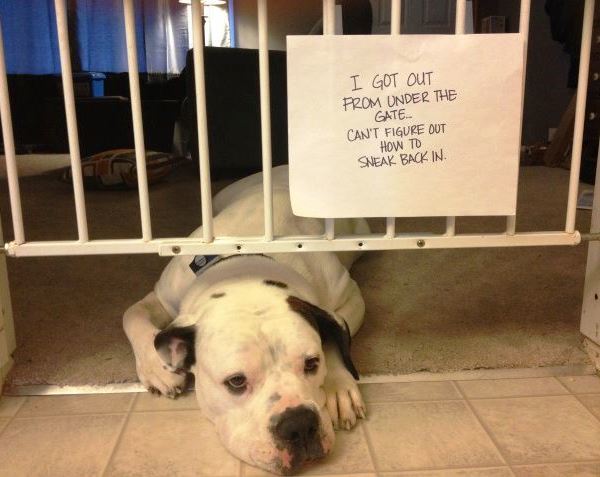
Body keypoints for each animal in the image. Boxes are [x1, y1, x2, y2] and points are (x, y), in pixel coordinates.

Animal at [123, 165, 368, 472]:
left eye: (312, 363)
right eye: (236, 381)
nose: (299, 424)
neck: (243, 263)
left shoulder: (350, 297)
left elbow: (335, 336)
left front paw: (338, 385)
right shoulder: (163, 295)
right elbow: (131, 314)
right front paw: (157, 367)